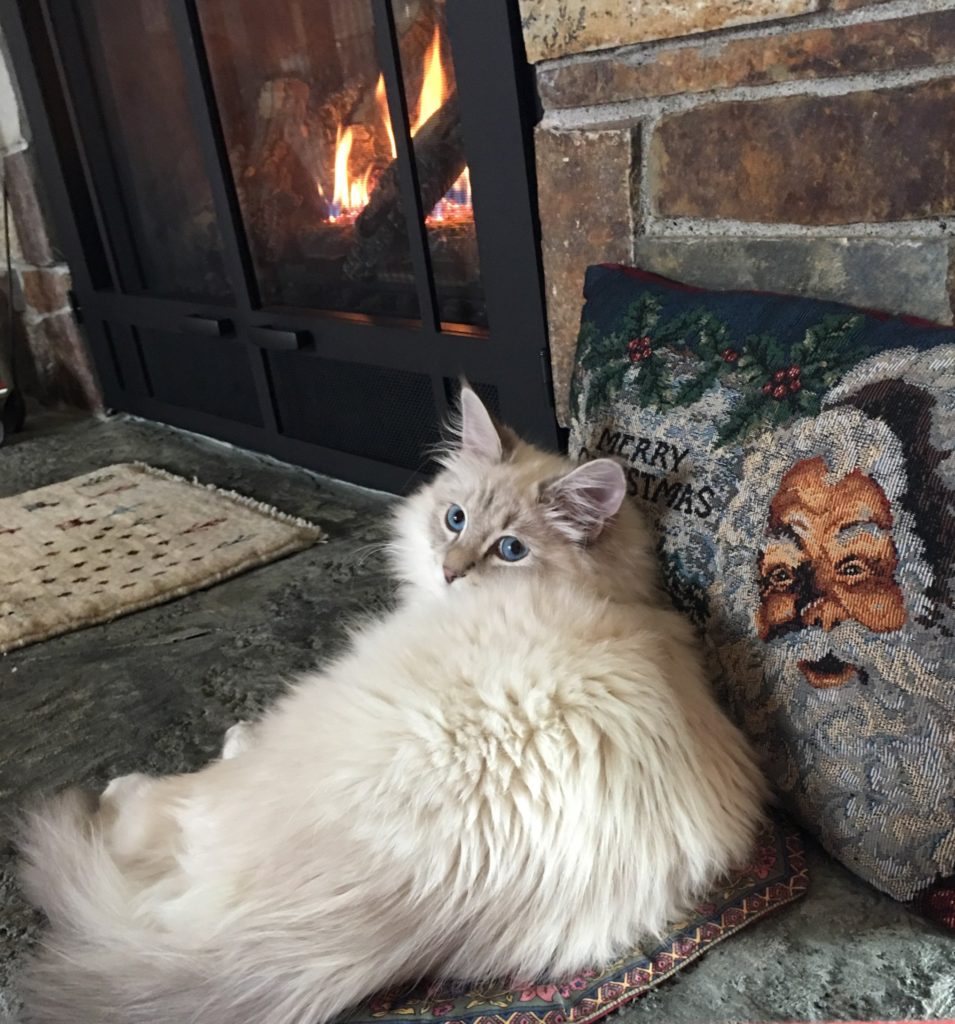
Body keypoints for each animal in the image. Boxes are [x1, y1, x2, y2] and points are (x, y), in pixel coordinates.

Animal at [16, 387, 766, 1024]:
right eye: (453, 520)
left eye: (510, 550)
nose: (449, 573)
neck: (618, 596)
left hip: (295, 729)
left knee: (162, 814)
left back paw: (139, 784)